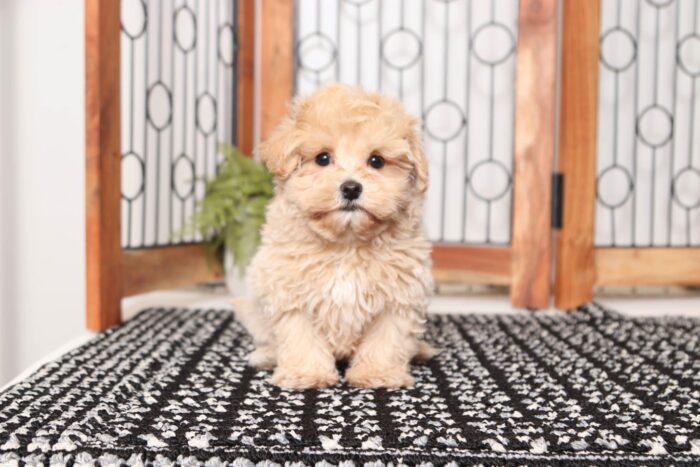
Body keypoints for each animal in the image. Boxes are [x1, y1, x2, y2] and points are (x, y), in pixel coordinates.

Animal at [242, 84, 438, 392]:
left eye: (376, 160)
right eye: (323, 158)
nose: (351, 188)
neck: (347, 244)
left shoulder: (400, 295)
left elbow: (387, 338)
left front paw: (377, 374)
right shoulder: (289, 292)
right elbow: (300, 336)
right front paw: (306, 374)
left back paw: (420, 349)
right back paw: (265, 355)